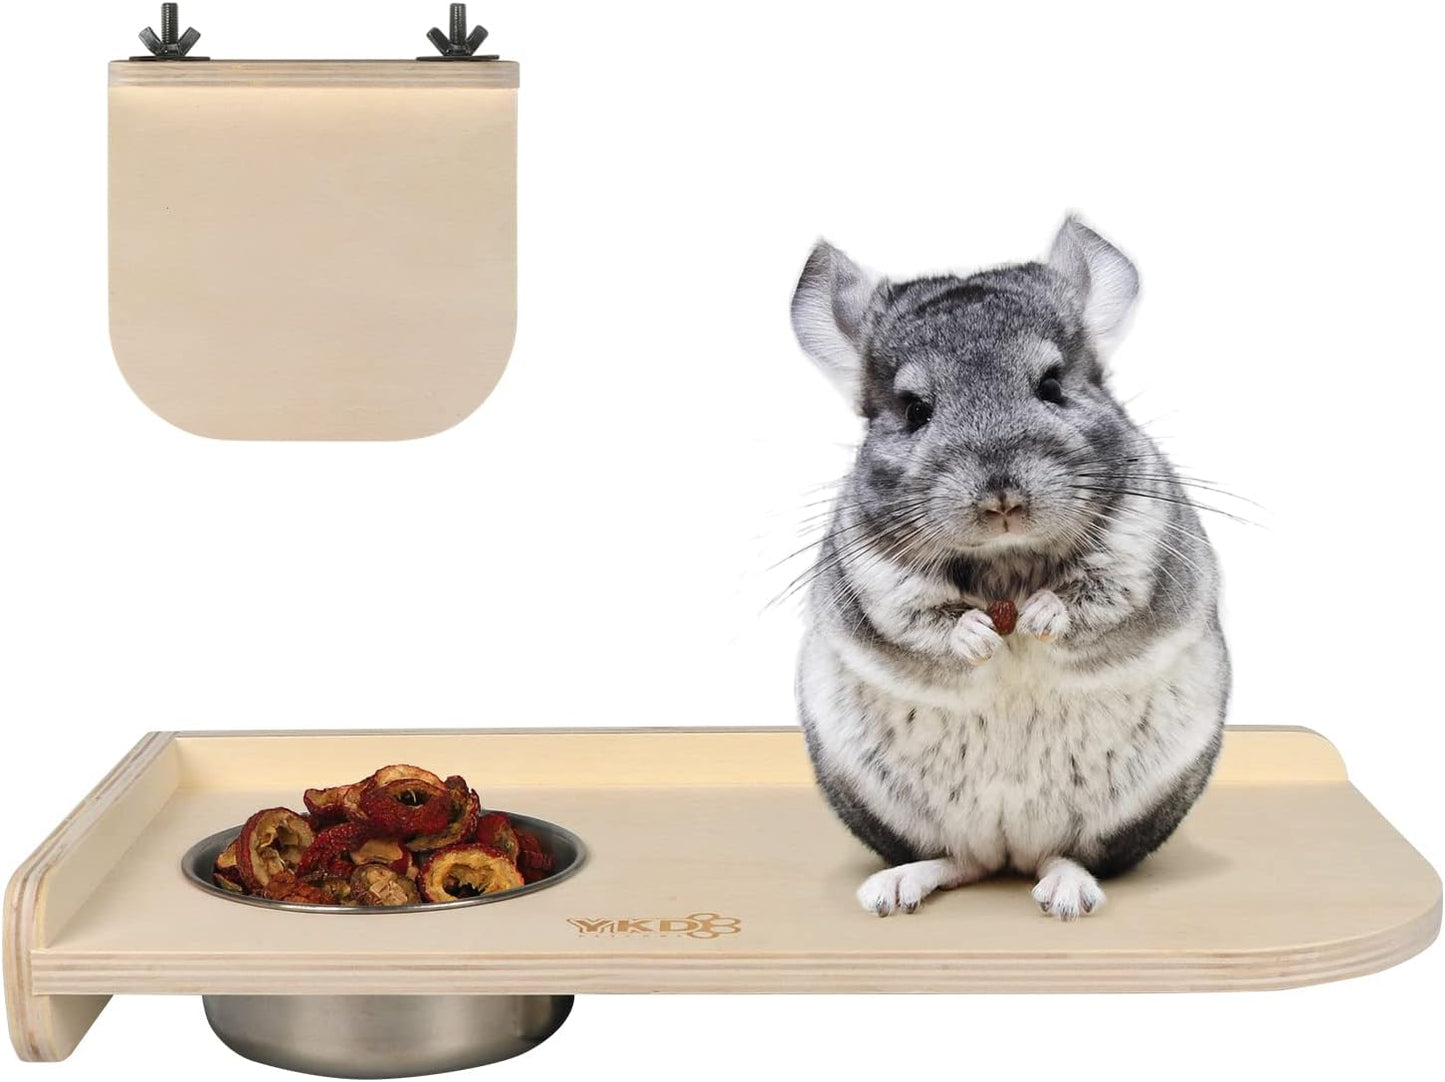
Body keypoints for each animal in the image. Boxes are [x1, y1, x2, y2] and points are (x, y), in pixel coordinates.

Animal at [789, 217, 1230, 920]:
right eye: (914, 410)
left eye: (1051, 385)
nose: (1002, 498)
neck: (1007, 565)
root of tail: (1010, 849)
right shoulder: (875, 578)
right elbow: (921, 618)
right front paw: (976, 636)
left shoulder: (1142, 548)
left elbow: (1096, 596)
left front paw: (1042, 617)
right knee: (959, 861)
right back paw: (896, 887)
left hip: (1120, 819)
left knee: (1066, 854)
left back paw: (1066, 893)